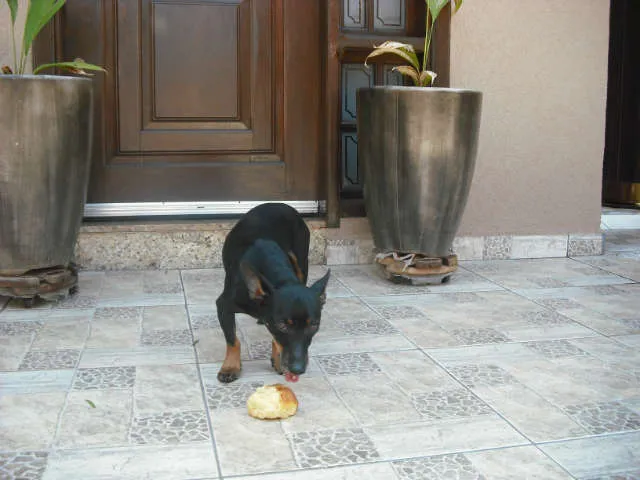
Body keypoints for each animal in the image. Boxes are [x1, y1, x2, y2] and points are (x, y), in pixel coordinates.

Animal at [216, 202, 330, 383]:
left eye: (314, 325)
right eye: (282, 325)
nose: (298, 369)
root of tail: (280, 204)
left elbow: (275, 339)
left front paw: (277, 360)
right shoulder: (223, 305)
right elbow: (233, 340)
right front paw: (230, 367)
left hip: (301, 259)